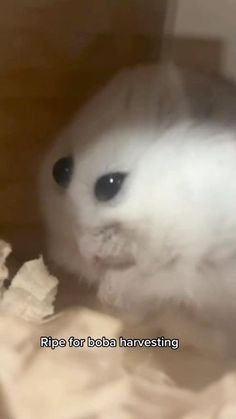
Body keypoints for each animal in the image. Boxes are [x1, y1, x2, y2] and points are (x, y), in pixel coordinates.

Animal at [39, 65, 236, 358]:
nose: (88, 253)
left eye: (109, 184)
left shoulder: (202, 266)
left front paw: (110, 291)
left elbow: (158, 279)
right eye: (60, 169)